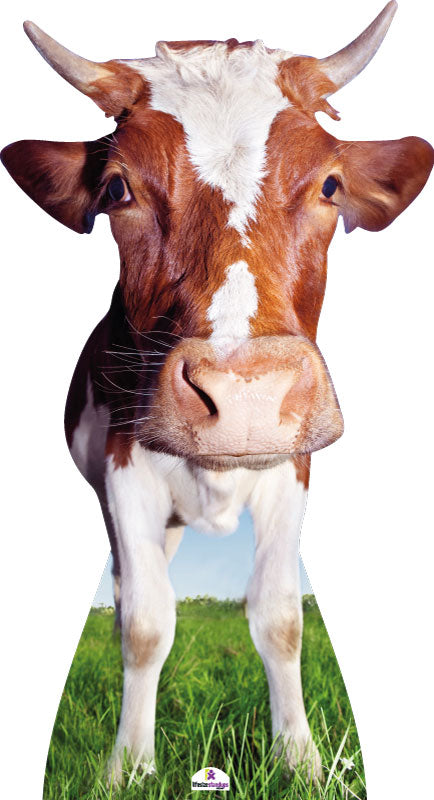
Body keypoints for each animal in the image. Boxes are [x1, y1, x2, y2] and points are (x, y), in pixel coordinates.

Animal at [1, 0, 432, 786]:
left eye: (330, 185)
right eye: (118, 190)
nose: (246, 397)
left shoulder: (291, 468)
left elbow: (280, 617)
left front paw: (301, 761)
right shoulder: (124, 474)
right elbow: (145, 624)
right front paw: (128, 768)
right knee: (130, 596)